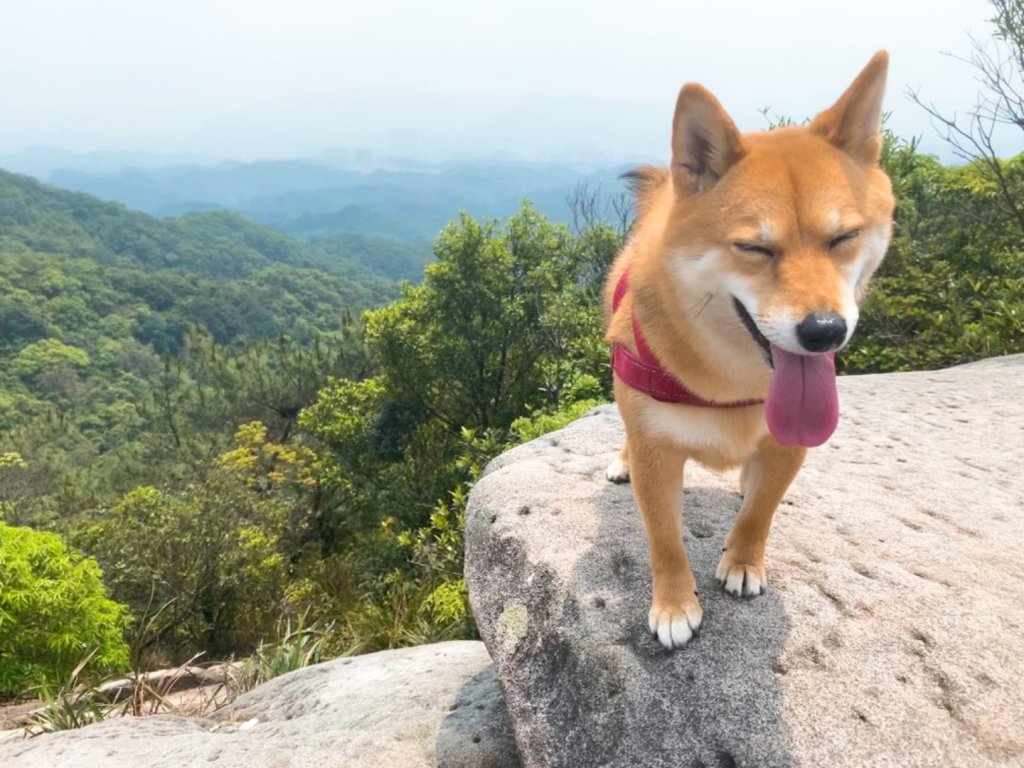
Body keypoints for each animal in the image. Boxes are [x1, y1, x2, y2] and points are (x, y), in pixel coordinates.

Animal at [602, 51, 892, 651]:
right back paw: (621, 460)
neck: (731, 384)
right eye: (754, 248)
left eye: (843, 238)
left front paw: (742, 561)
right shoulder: (656, 450)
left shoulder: (789, 445)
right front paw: (673, 604)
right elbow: (664, 539)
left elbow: (760, 511)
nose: (825, 330)